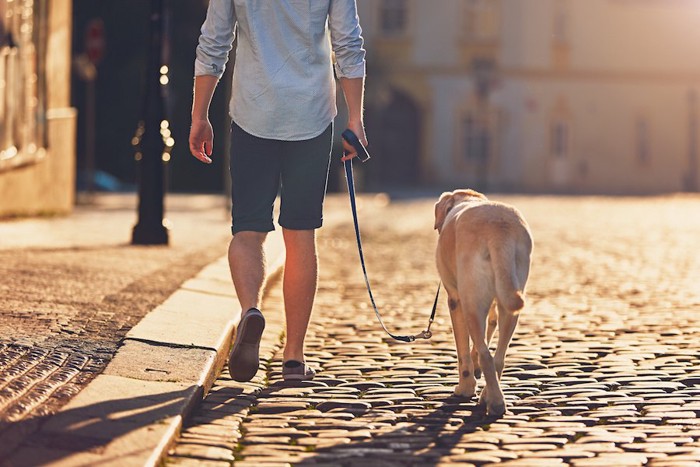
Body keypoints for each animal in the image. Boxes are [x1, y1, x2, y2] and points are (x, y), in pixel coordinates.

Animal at [434, 189, 532, 416]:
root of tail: (498, 228)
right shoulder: (493, 305)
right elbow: (486, 333)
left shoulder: (455, 300)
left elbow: (463, 351)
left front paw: (465, 388)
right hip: (510, 301)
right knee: (498, 357)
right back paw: (490, 394)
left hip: (471, 302)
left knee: (487, 355)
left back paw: (494, 402)